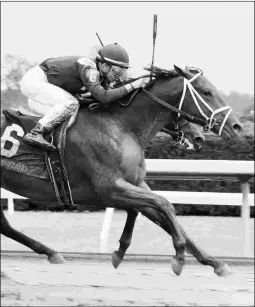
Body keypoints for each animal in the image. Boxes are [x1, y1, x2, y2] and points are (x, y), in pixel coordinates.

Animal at [0, 65, 242, 276]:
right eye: (207, 92)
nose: (236, 126)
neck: (121, 126)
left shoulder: (134, 184)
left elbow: (158, 214)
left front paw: (215, 263)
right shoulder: (109, 188)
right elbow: (165, 204)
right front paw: (179, 257)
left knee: (5, 226)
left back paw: (50, 252)